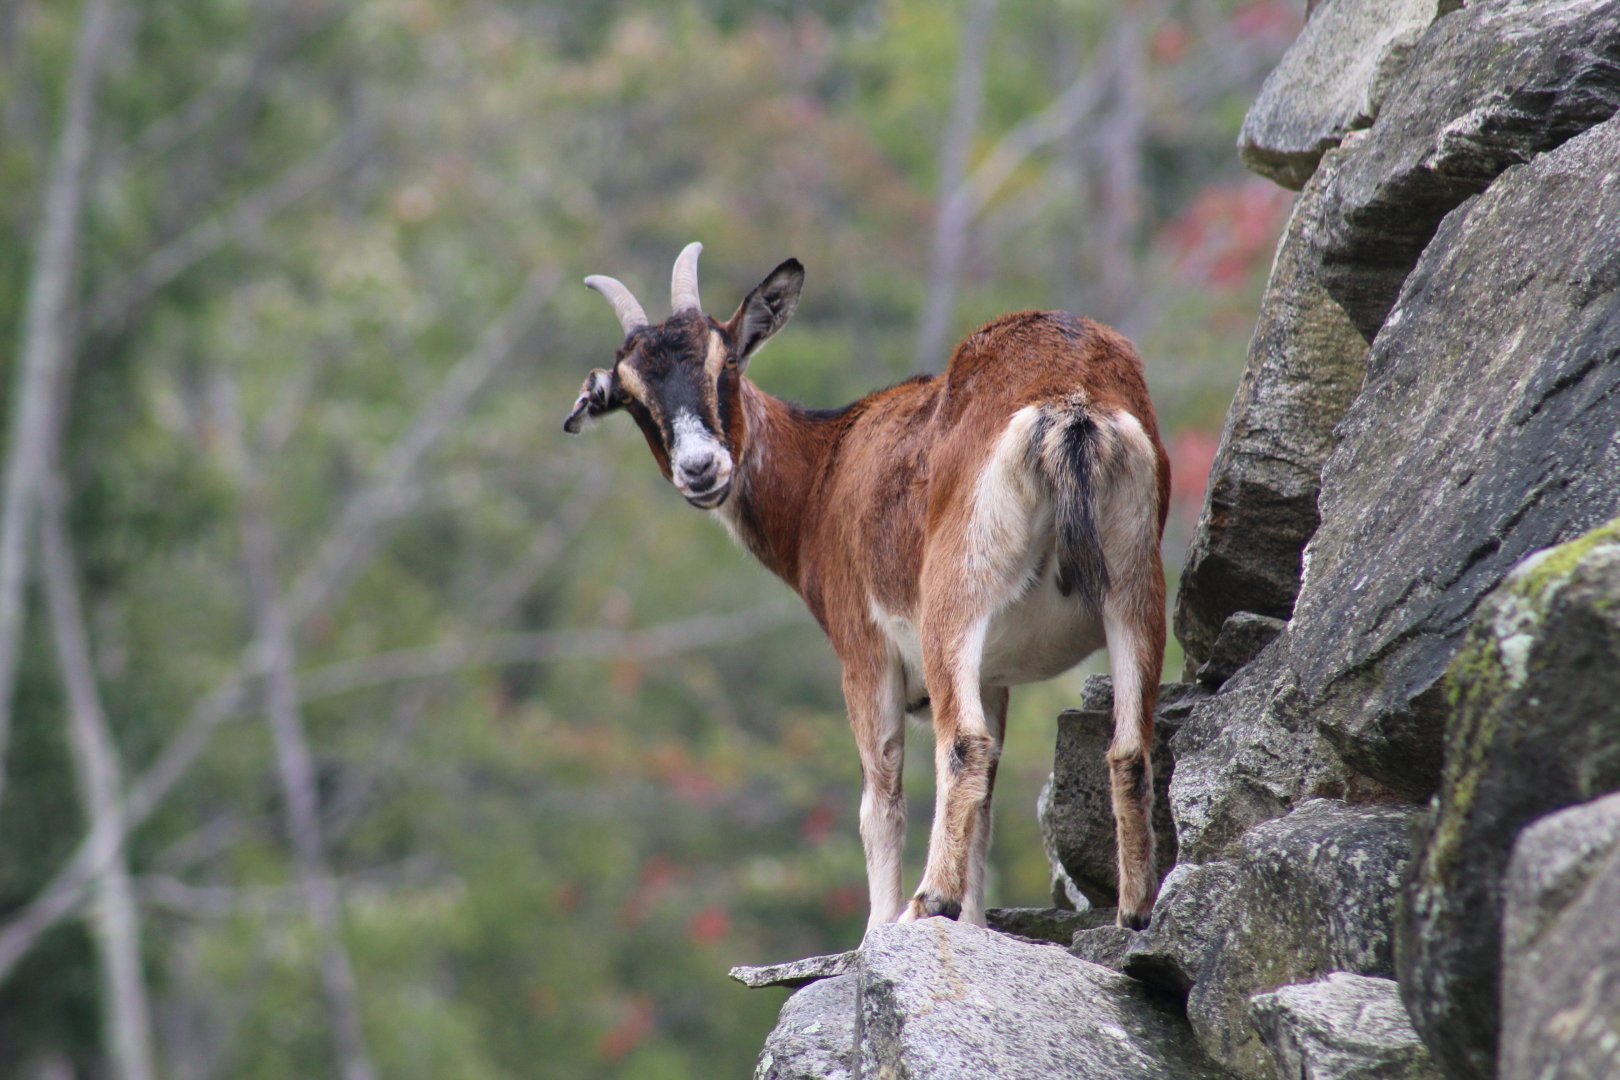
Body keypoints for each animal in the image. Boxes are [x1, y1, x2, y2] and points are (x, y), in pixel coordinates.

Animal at [565, 244, 1169, 930]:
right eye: (633, 397)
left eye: (727, 363)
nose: (700, 469)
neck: (827, 469)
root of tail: (1071, 402)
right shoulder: (995, 673)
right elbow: (986, 802)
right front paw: (974, 925)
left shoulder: (863, 649)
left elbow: (879, 795)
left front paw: (881, 926)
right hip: (1135, 582)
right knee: (1128, 750)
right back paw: (1133, 912)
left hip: (955, 592)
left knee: (962, 743)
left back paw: (924, 901)